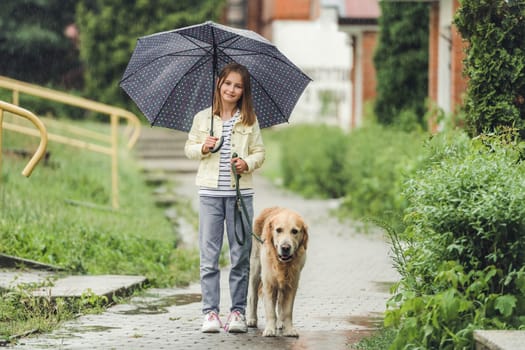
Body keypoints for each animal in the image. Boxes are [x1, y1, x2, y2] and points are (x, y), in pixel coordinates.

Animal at [246, 208, 308, 336]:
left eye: (294, 231)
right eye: (278, 230)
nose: (285, 247)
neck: (282, 264)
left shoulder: (292, 284)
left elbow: (287, 310)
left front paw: (289, 329)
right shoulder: (269, 283)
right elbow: (270, 310)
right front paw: (269, 329)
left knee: (280, 303)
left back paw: (280, 322)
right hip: (255, 269)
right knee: (253, 297)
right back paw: (252, 319)